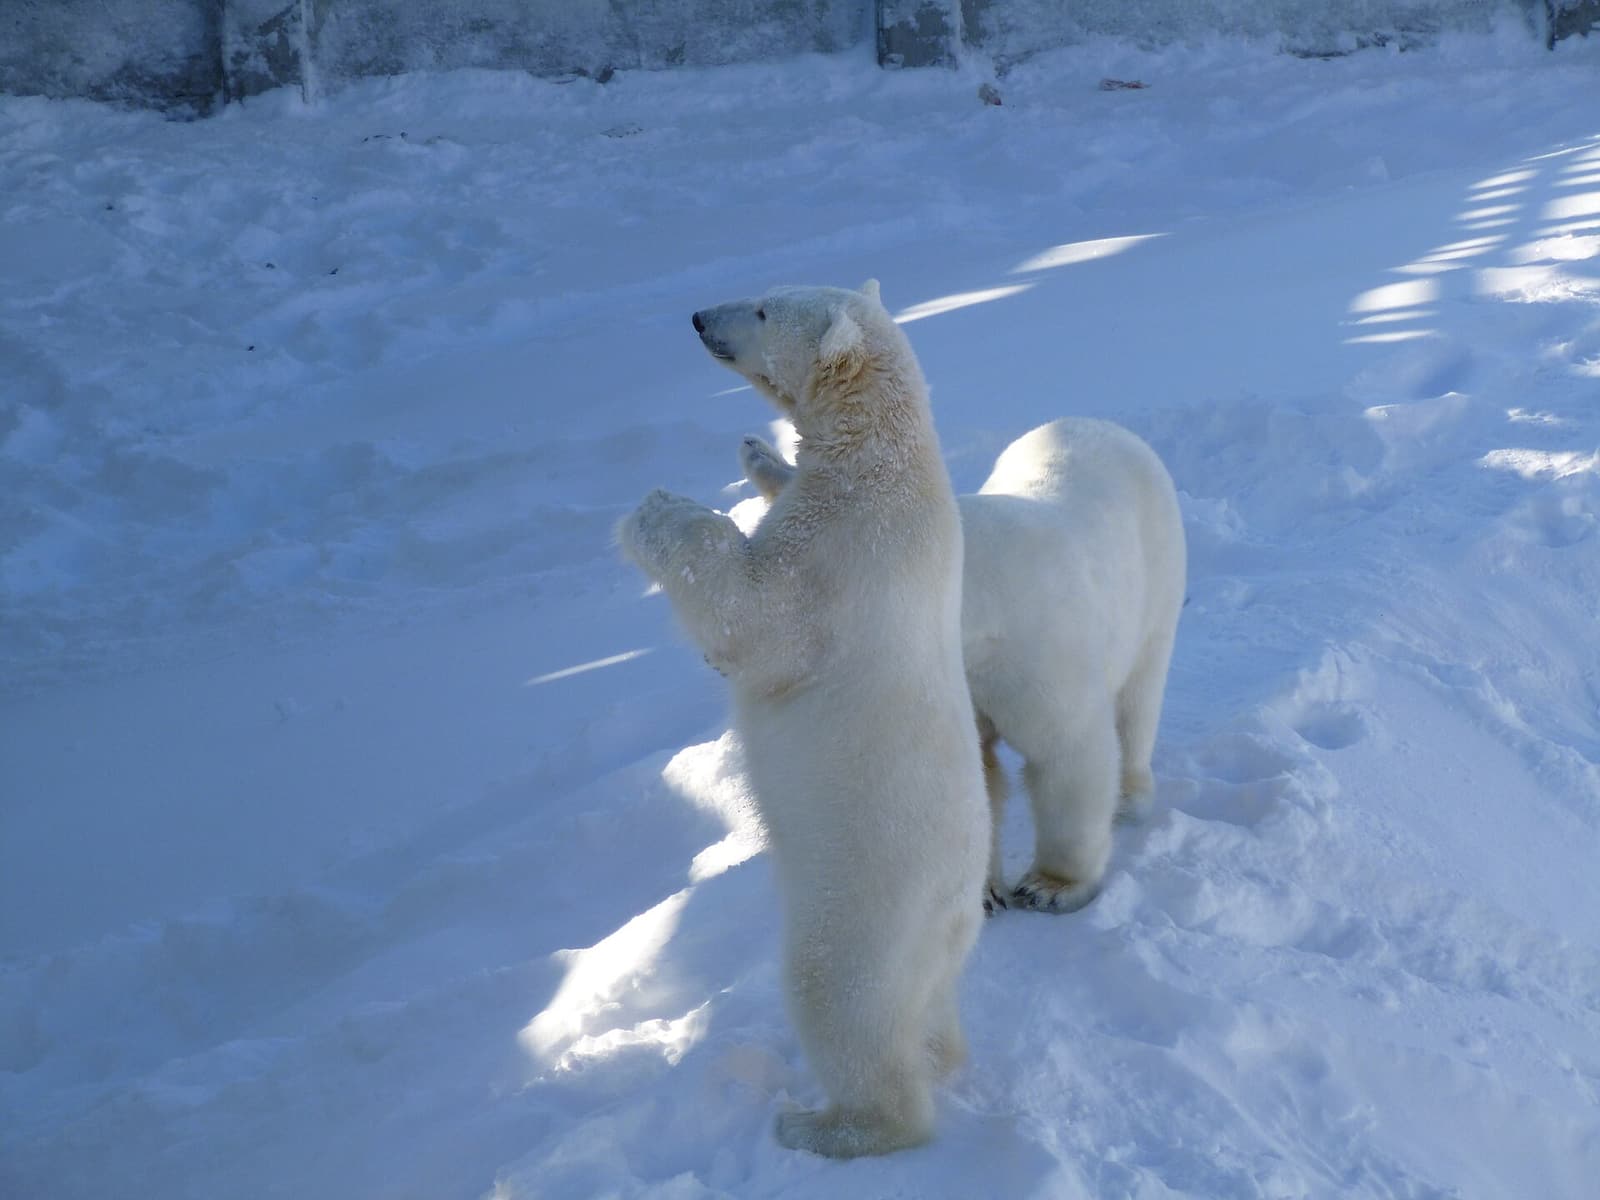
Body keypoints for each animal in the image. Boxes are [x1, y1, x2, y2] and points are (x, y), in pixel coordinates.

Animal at [616, 280, 988, 1158]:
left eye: (758, 310)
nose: (697, 318)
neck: (885, 459)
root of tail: (960, 905)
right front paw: (759, 454)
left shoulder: (841, 557)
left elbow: (752, 616)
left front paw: (658, 508)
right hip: (932, 948)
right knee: (929, 1013)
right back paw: (939, 1054)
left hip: (867, 903)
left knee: (837, 1002)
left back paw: (822, 1123)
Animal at [740, 416, 1186, 915]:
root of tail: (1104, 426)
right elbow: (977, 771)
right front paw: (983, 893)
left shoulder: (1033, 654)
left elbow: (1068, 752)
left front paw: (1050, 887)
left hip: (1156, 577)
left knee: (1138, 698)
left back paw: (1130, 798)